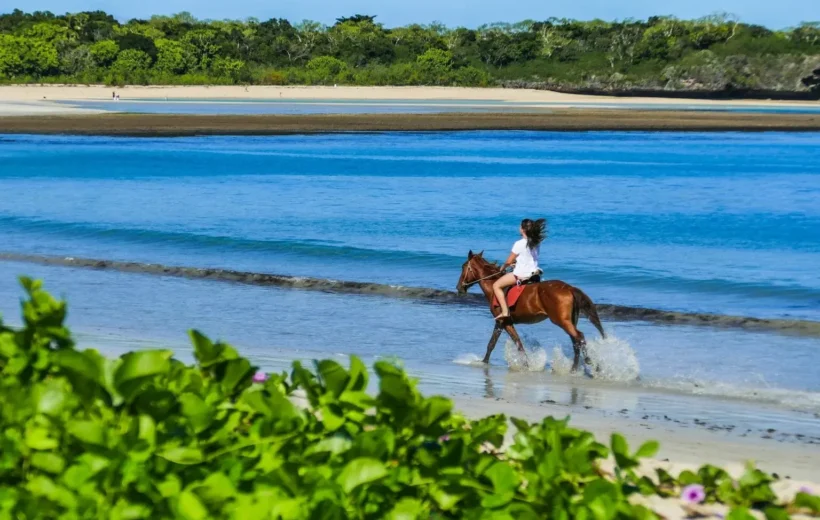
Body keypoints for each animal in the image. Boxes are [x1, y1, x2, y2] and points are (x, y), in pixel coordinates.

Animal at [456, 250, 606, 373]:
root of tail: (569, 288)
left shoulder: (501, 321)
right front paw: (527, 365)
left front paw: (483, 362)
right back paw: (574, 369)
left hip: (561, 321)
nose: (459, 288)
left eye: (463, 266)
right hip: (570, 321)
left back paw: (589, 363)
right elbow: (518, 344)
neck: (494, 287)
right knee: (575, 341)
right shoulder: (507, 322)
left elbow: (492, 344)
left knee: (579, 337)